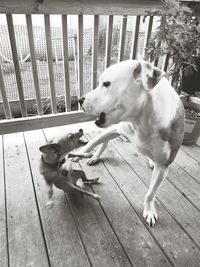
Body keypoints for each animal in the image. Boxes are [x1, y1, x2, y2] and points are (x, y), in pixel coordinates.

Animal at [69, 59, 184, 227]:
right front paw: (80, 154)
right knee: (103, 143)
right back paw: (95, 156)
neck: (142, 121)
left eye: (106, 84)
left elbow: (151, 192)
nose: (80, 99)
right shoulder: (117, 128)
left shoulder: (163, 166)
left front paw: (149, 209)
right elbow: (94, 141)